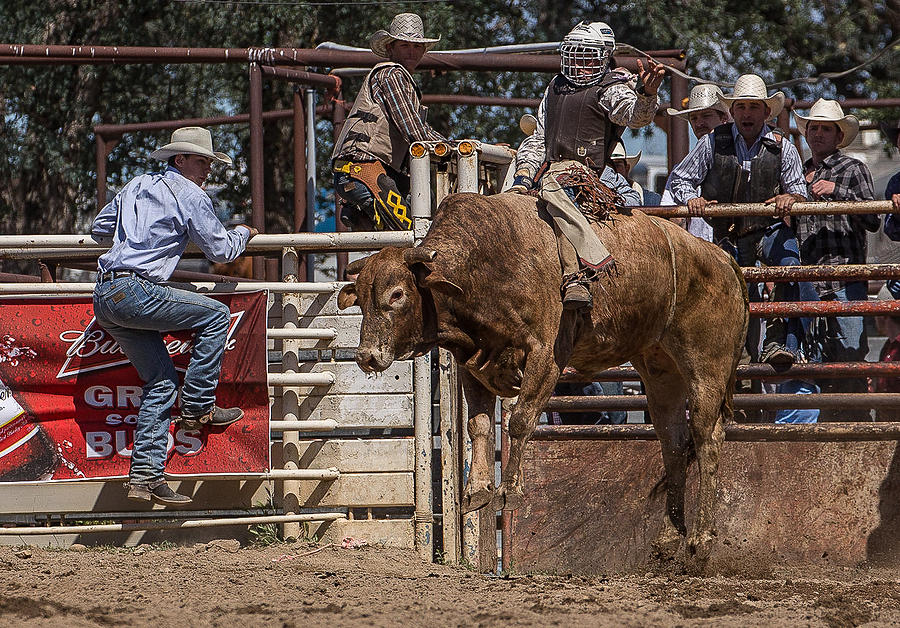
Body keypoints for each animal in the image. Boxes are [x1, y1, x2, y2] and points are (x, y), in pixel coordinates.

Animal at [338, 193, 744, 560]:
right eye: (361, 298)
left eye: (397, 293)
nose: (366, 356)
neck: (483, 267)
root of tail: (723, 259)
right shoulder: (473, 362)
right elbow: (478, 425)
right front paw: (476, 492)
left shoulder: (546, 354)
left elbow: (520, 420)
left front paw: (509, 491)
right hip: (660, 368)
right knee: (673, 442)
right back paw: (669, 537)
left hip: (706, 365)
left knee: (706, 437)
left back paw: (701, 539)